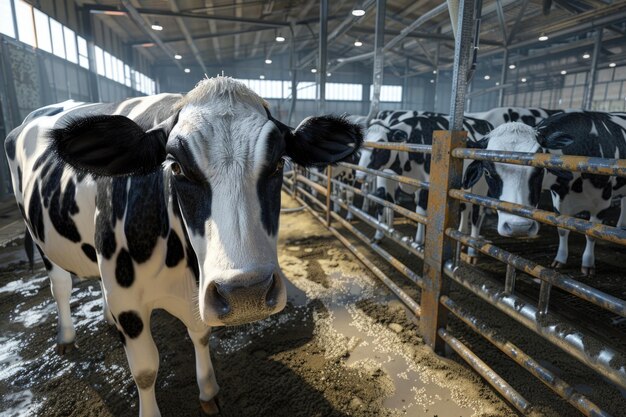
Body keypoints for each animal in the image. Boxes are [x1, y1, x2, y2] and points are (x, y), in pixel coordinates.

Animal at [6, 76, 360, 414]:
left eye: (278, 164)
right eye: (176, 166)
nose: (247, 294)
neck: (185, 265)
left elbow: (200, 335)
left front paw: (208, 391)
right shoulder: (126, 299)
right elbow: (145, 370)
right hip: (41, 238)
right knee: (61, 286)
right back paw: (66, 336)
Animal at [460, 110, 624, 274]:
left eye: (540, 169)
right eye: (487, 172)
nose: (518, 227)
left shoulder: (602, 203)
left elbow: (592, 233)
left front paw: (588, 264)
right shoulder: (560, 199)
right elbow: (562, 229)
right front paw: (560, 259)